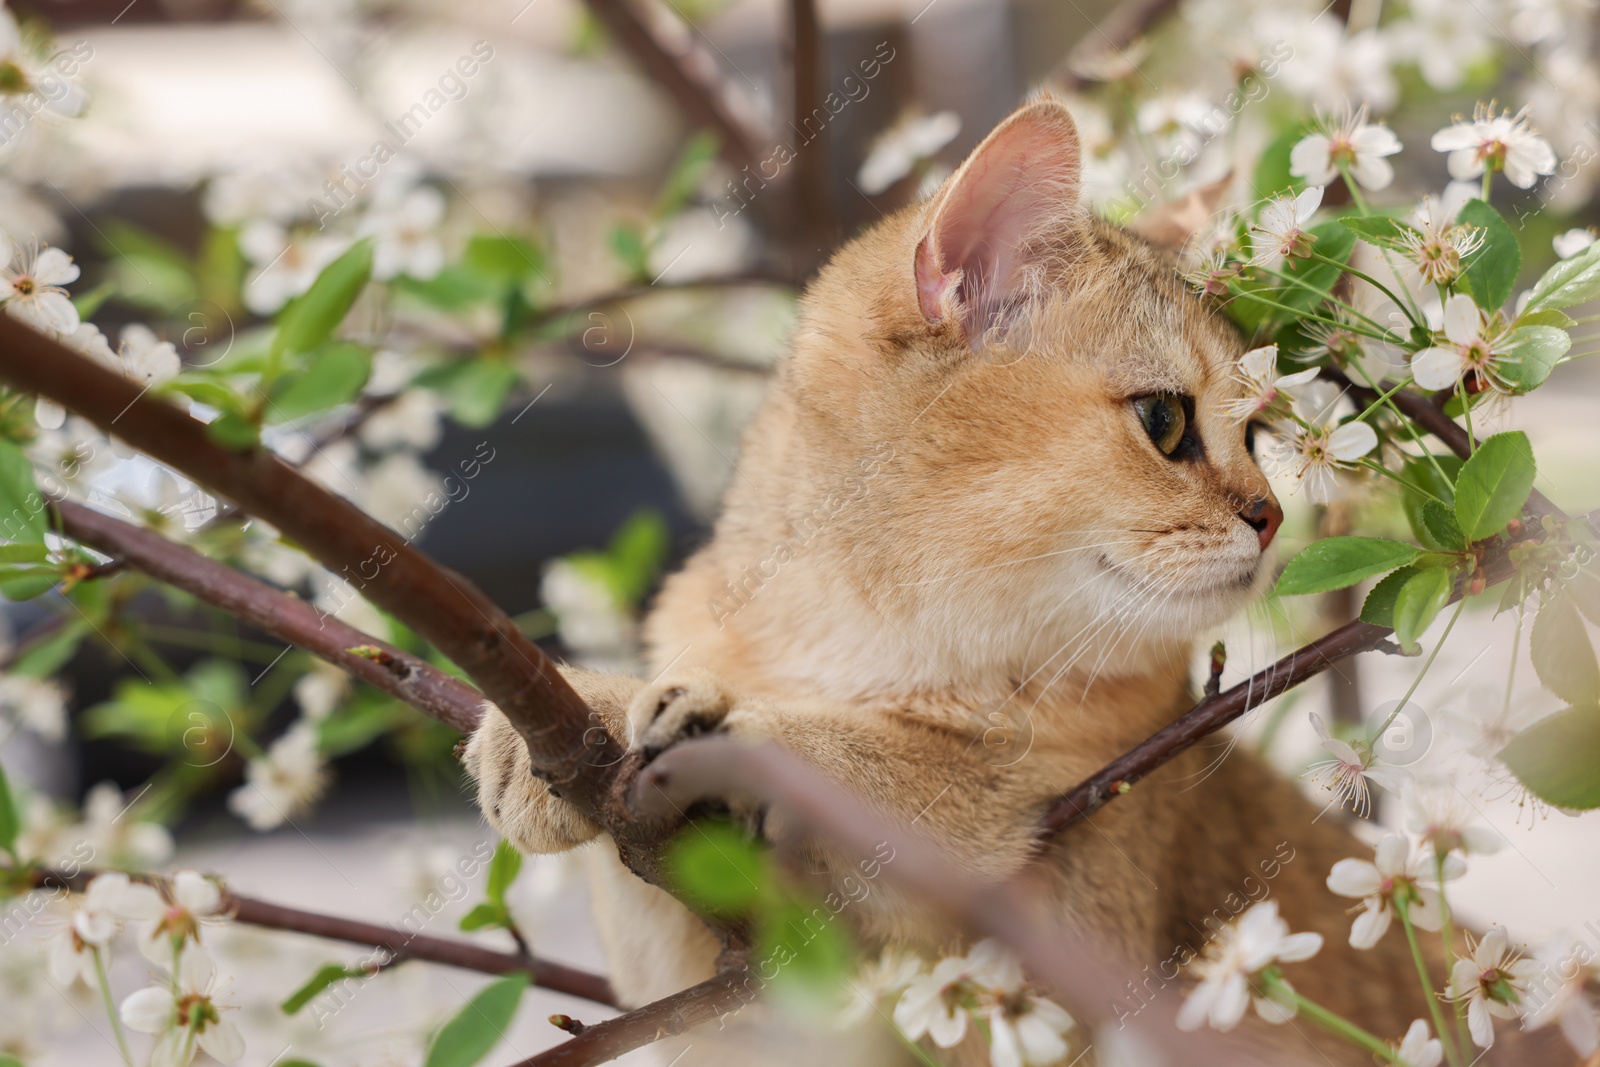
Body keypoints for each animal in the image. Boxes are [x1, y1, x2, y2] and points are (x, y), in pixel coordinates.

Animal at [464, 95, 1561, 1062]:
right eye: (1166, 420)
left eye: (1255, 432)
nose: (1271, 515)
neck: (854, 643)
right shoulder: (730, 1010)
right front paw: (572, 723)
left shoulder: (1060, 941)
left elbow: (911, 765)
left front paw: (703, 722)